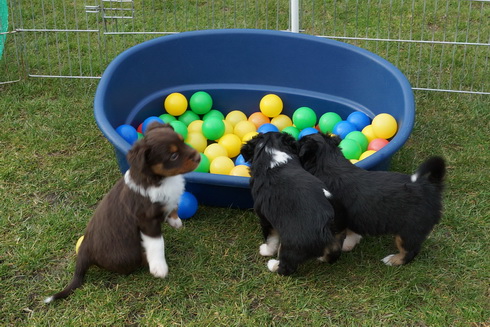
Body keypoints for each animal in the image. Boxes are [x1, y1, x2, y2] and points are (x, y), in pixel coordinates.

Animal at [45, 121, 200, 304]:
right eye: (173, 156)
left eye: (183, 141)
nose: (199, 157)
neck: (159, 180)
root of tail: (84, 251)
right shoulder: (147, 220)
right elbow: (157, 243)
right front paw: (159, 268)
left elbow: (173, 207)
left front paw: (175, 221)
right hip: (129, 254)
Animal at [240, 132, 340, 276]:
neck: (271, 155)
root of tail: (324, 229)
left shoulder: (265, 218)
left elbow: (270, 238)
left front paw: (265, 250)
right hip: (336, 238)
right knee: (333, 255)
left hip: (291, 245)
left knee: (287, 267)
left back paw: (273, 265)